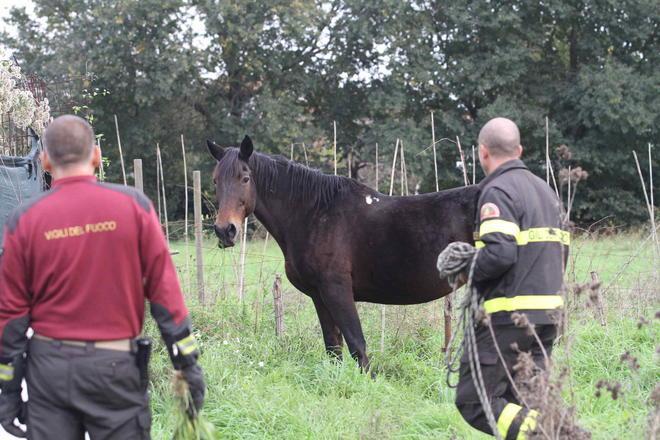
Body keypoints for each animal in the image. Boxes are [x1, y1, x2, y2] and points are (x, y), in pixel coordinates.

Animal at [207, 135, 479, 369]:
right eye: (215, 180)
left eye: (245, 178)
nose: (225, 230)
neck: (315, 214)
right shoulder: (319, 296)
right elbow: (333, 347)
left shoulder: (337, 290)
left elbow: (357, 345)